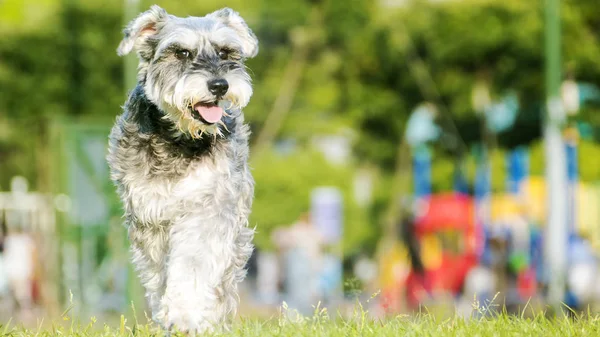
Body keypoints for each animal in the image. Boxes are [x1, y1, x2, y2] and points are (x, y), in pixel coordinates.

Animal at [106, 5, 256, 334]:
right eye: (182, 53)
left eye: (225, 51)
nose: (219, 85)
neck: (179, 140)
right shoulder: (150, 214)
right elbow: (159, 273)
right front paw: (170, 315)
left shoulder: (210, 208)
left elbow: (194, 263)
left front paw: (186, 315)